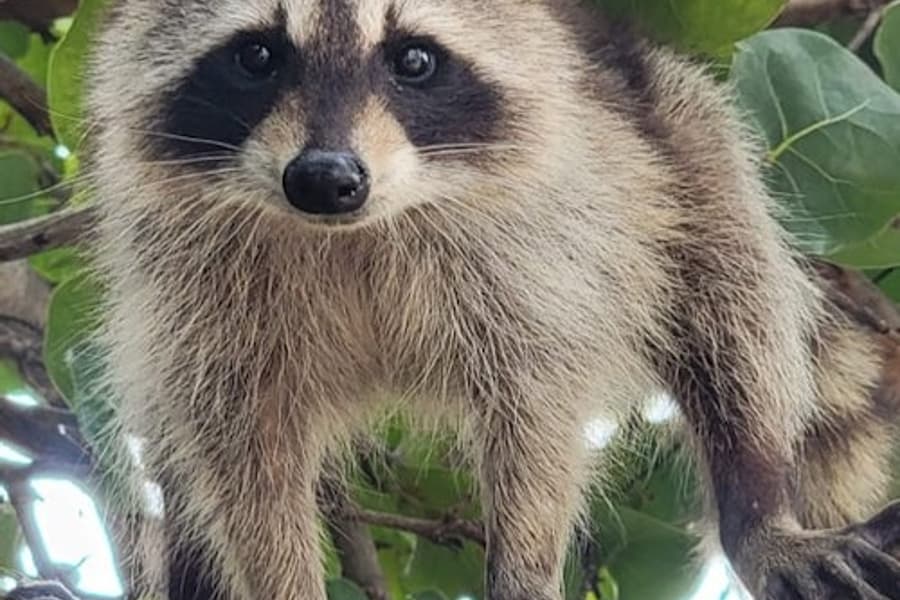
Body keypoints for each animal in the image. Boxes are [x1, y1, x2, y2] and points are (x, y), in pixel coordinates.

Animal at [41, 0, 900, 598]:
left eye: (414, 59)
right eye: (256, 54)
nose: (325, 177)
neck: (355, 231)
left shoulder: (544, 249)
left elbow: (537, 416)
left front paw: (524, 565)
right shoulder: (191, 291)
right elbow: (240, 449)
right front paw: (276, 576)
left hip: (675, 130)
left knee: (733, 294)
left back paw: (756, 505)